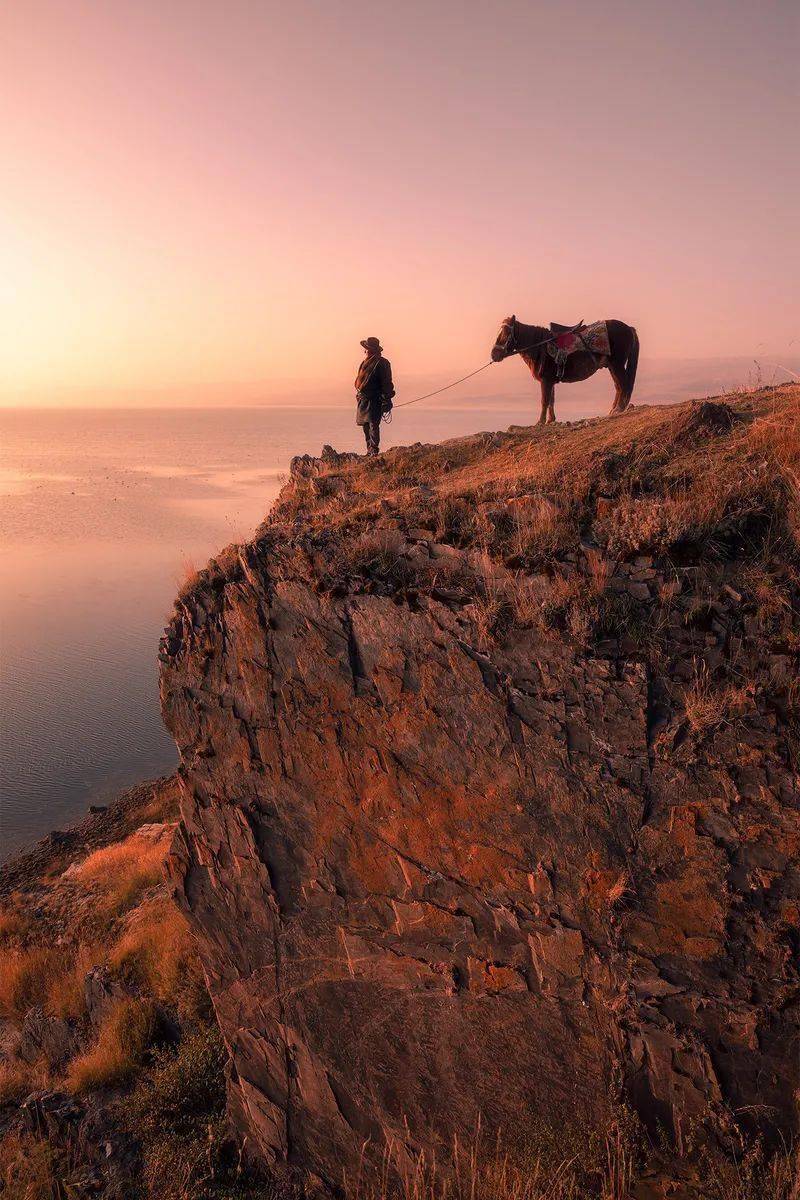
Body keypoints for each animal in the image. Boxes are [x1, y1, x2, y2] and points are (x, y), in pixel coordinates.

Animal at [491, 316, 642, 424]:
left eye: (506, 333)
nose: (493, 355)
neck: (540, 347)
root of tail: (628, 328)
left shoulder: (546, 380)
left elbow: (544, 400)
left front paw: (540, 422)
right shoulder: (550, 380)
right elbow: (551, 400)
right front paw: (551, 420)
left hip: (617, 365)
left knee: (623, 385)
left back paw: (618, 409)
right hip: (611, 366)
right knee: (618, 386)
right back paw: (613, 410)